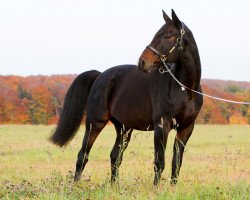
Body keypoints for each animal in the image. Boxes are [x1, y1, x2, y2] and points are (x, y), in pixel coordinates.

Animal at [50, 9, 203, 184]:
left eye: (167, 36)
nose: (142, 62)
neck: (184, 89)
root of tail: (100, 75)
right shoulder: (161, 125)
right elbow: (159, 162)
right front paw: (156, 188)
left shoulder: (186, 128)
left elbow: (176, 163)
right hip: (95, 123)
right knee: (83, 155)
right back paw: (75, 186)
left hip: (124, 128)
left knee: (115, 156)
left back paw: (113, 186)